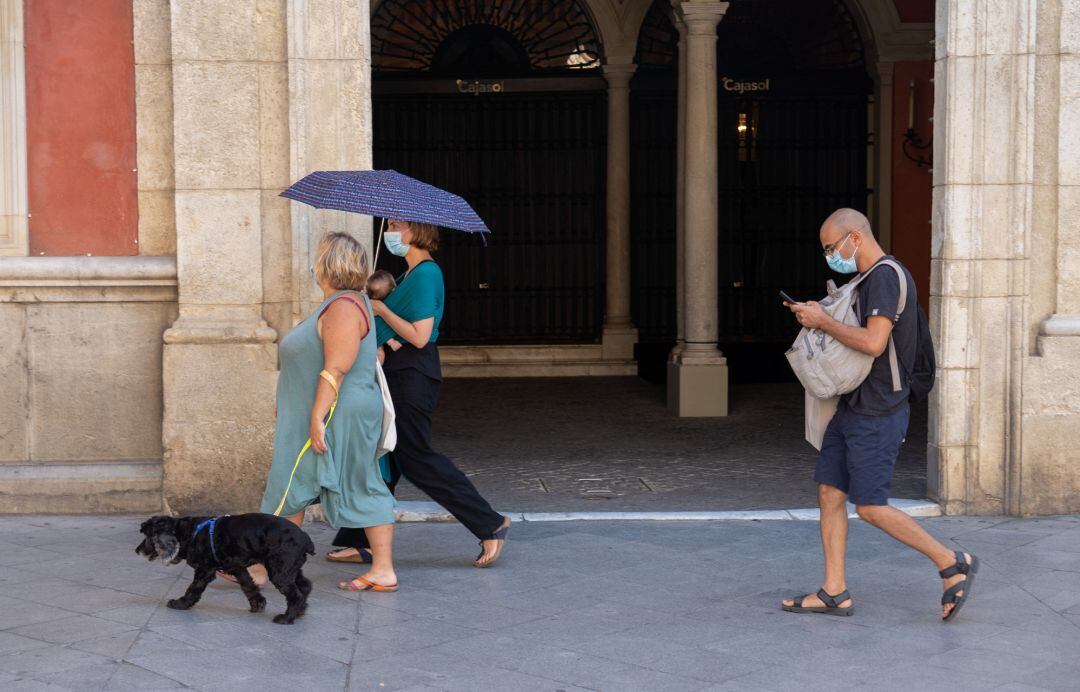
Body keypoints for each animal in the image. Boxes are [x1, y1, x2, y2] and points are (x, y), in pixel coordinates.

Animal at [135, 509, 315, 621]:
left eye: (148, 537)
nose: (137, 551)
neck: (189, 533)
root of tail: (305, 538)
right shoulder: (237, 567)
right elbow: (249, 586)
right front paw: (257, 604)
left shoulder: (205, 570)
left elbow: (193, 589)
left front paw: (180, 604)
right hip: (290, 568)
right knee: (305, 586)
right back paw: (300, 611)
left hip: (279, 570)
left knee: (295, 594)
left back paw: (286, 618)